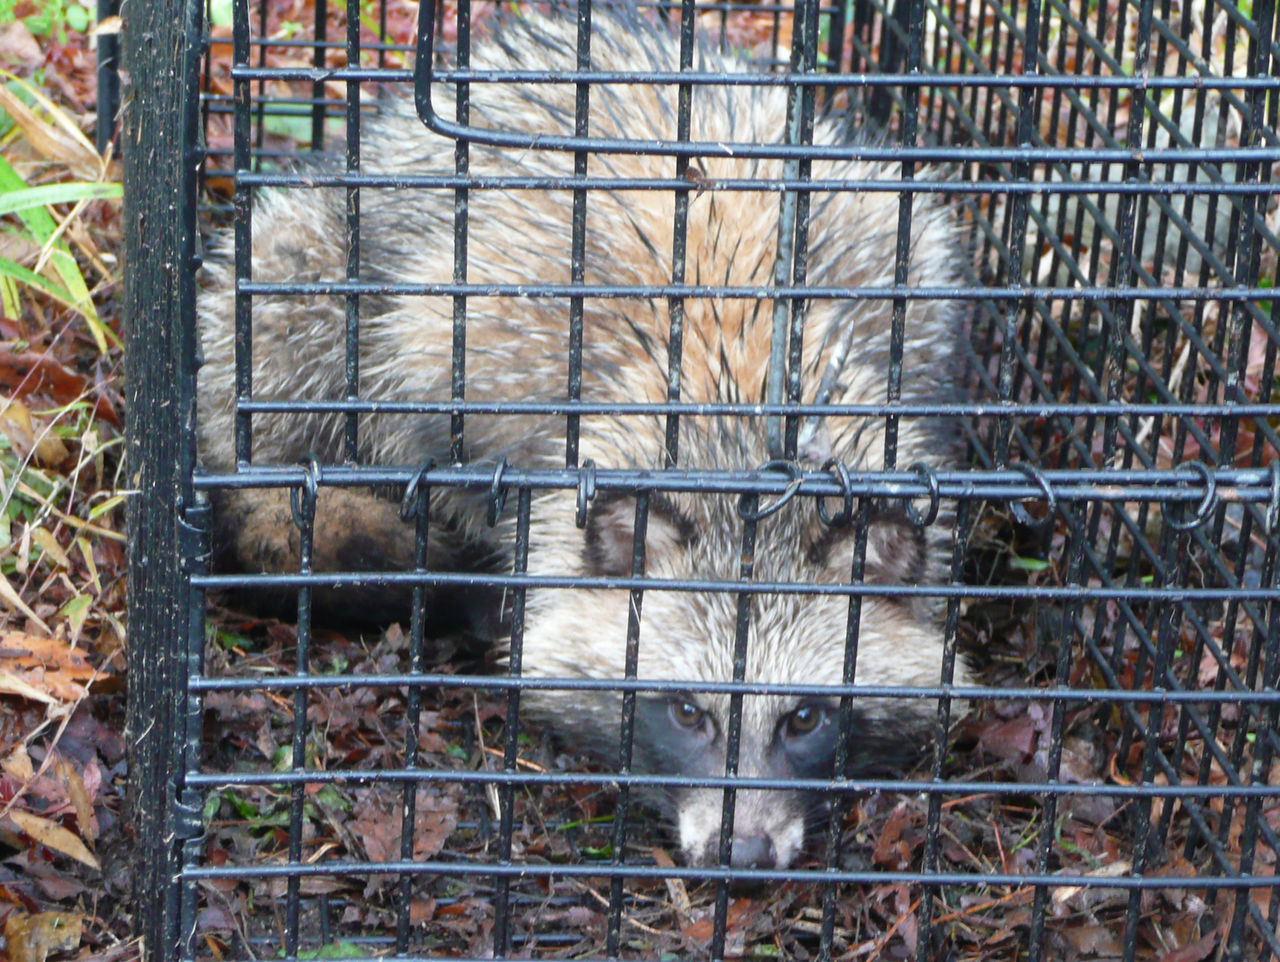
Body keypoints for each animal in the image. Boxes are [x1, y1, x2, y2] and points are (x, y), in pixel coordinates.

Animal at [194, 1, 962, 869]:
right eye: (688, 712)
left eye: (804, 718)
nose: (740, 853)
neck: (742, 407)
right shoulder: (454, 347)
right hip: (301, 286)